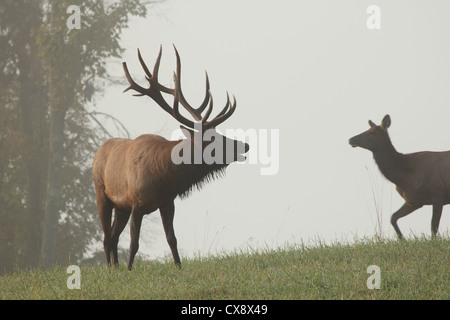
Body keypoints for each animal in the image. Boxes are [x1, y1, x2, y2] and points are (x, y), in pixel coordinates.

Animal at [92, 45, 250, 270]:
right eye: (213, 139)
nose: (245, 144)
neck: (164, 177)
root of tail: (98, 153)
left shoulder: (167, 203)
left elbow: (172, 239)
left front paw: (179, 267)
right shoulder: (136, 204)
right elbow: (134, 243)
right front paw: (130, 269)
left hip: (121, 208)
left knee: (113, 237)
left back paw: (116, 267)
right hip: (101, 195)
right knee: (107, 237)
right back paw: (111, 269)